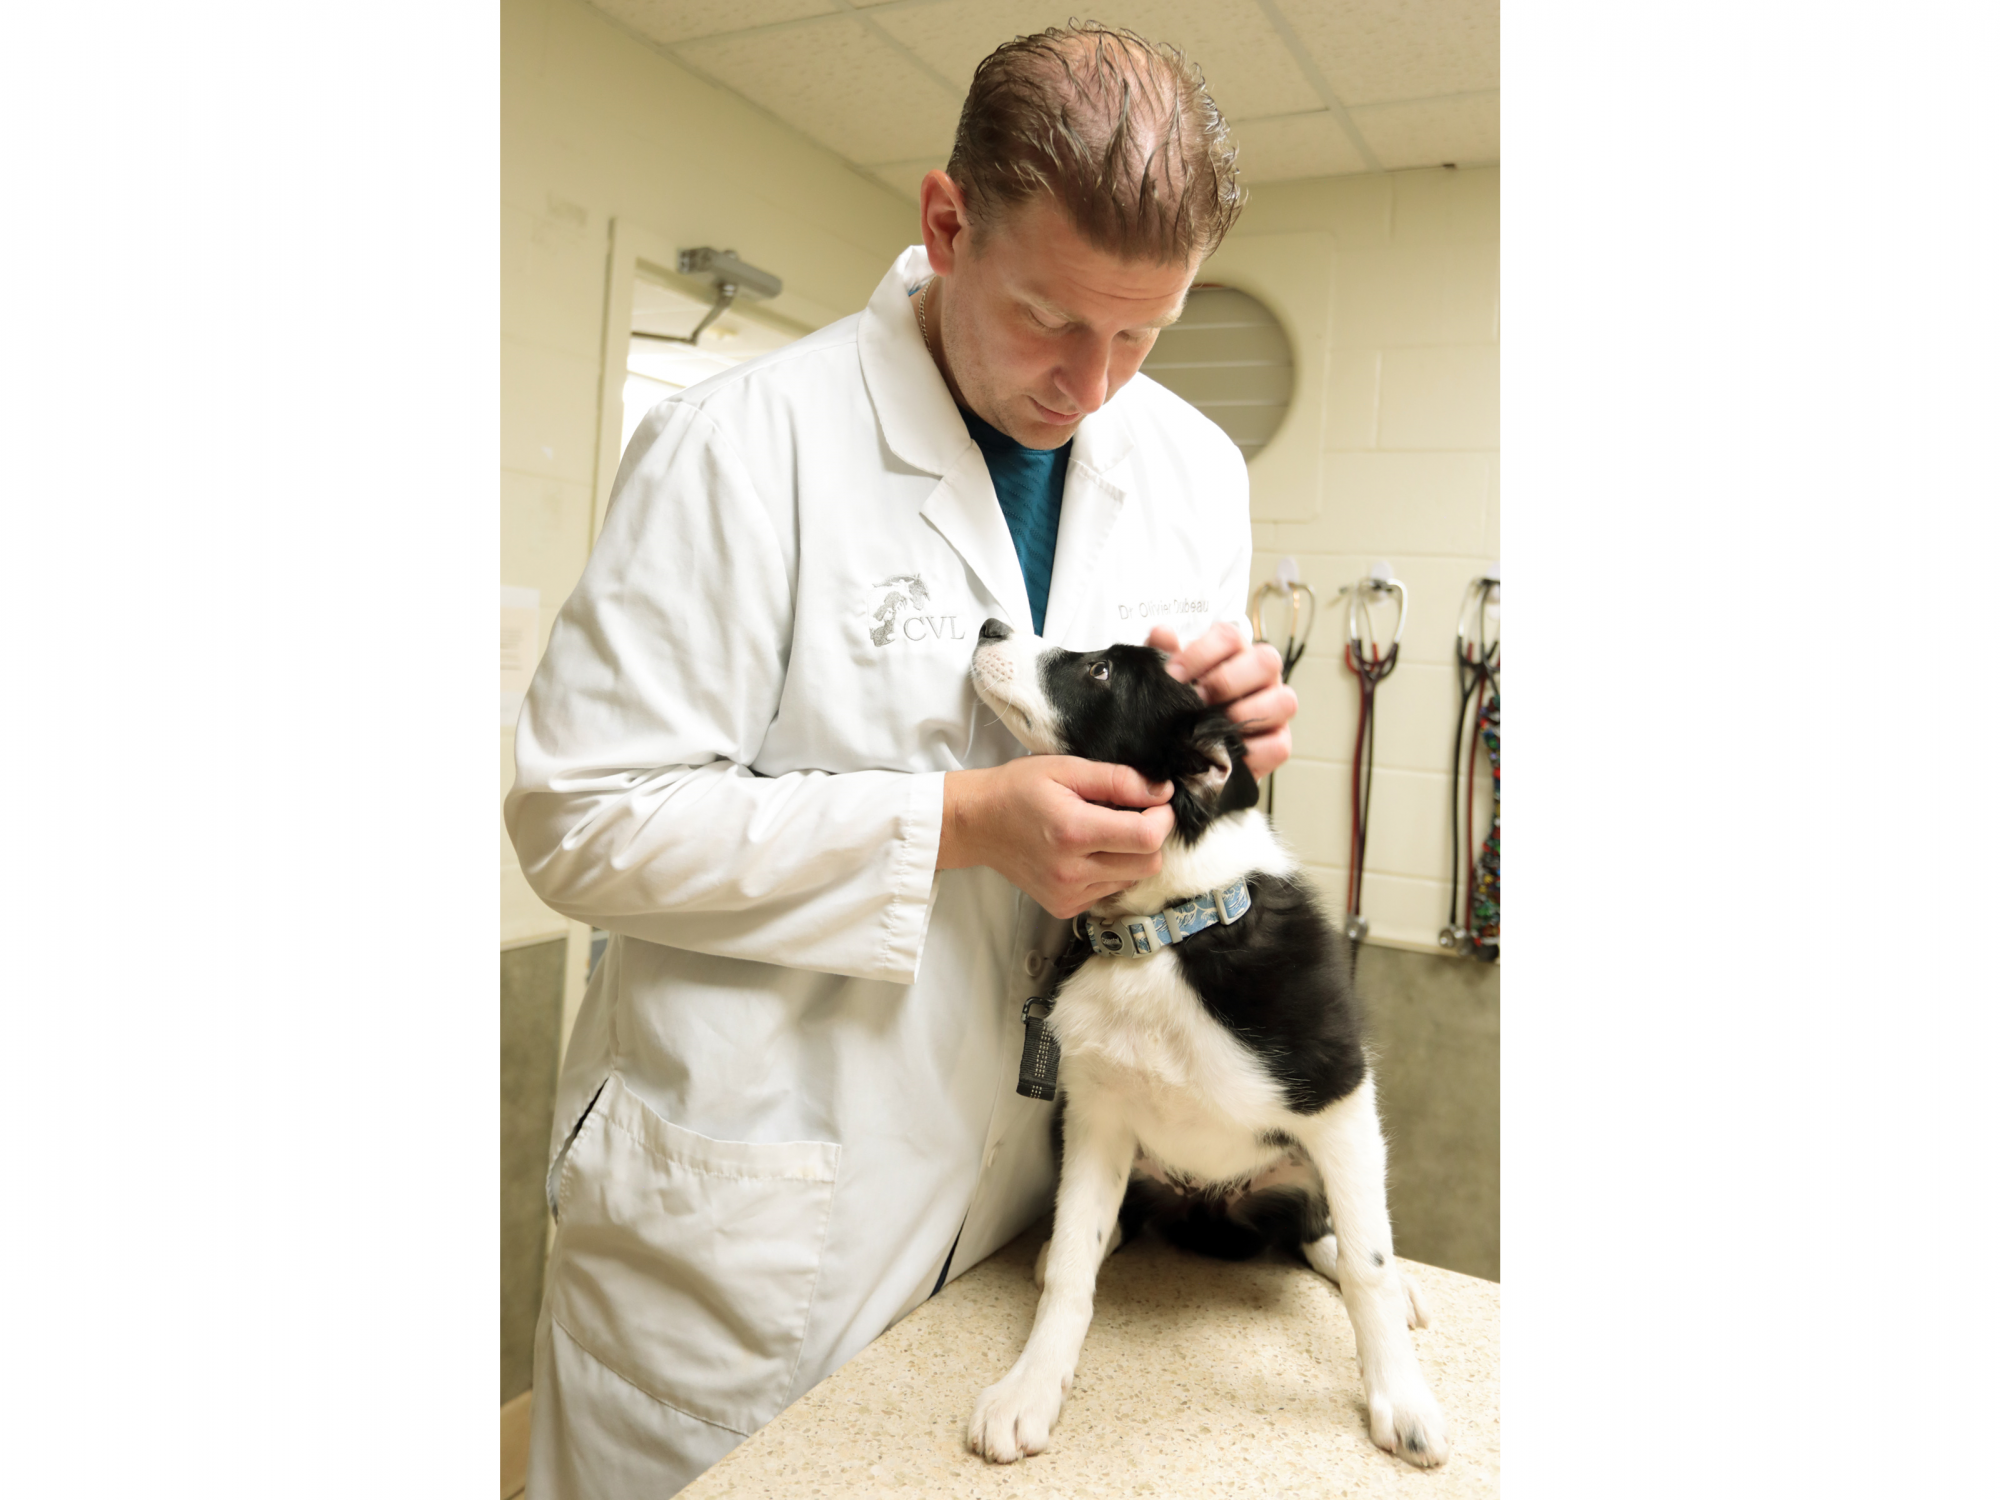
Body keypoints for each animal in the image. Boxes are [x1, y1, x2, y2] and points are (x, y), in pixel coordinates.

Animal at [964, 620, 1448, 1472]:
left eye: (1100, 671)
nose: (990, 626)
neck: (1161, 934)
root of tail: (1215, 1207)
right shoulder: (1096, 1114)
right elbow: (1075, 1265)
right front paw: (1030, 1387)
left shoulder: (1339, 1092)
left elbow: (1370, 1263)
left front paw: (1403, 1399)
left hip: (1326, 1154)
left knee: (1327, 1229)